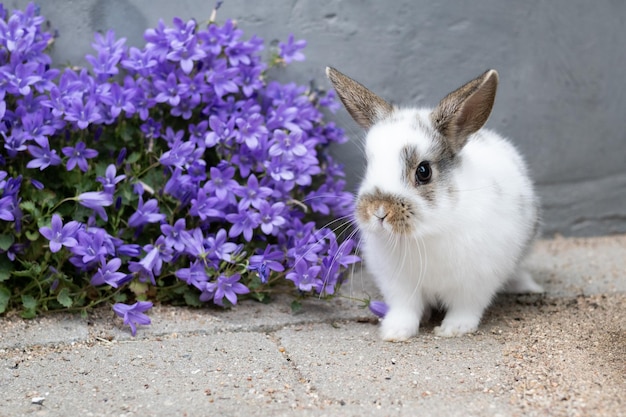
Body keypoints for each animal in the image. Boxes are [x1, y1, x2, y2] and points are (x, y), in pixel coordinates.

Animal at [326, 67, 540, 342]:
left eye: (423, 171)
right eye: (368, 164)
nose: (378, 211)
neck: (426, 233)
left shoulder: (476, 282)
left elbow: (466, 308)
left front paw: (453, 330)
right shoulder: (399, 285)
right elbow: (405, 309)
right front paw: (394, 332)